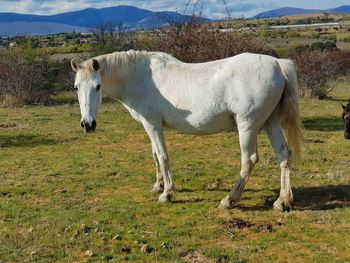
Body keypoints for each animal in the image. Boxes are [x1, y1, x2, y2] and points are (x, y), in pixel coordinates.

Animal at [72, 50, 304, 212]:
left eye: (97, 86)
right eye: (76, 87)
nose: (87, 124)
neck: (139, 77)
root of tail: (277, 63)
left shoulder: (152, 124)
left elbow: (162, 156)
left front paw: (167, 193)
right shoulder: (150, 126)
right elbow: (155, 155)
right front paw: (158, 185)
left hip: (247, 126)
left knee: (249, 160)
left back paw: (229, 199)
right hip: (271, 123)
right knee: (283, 154)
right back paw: (282, 201)